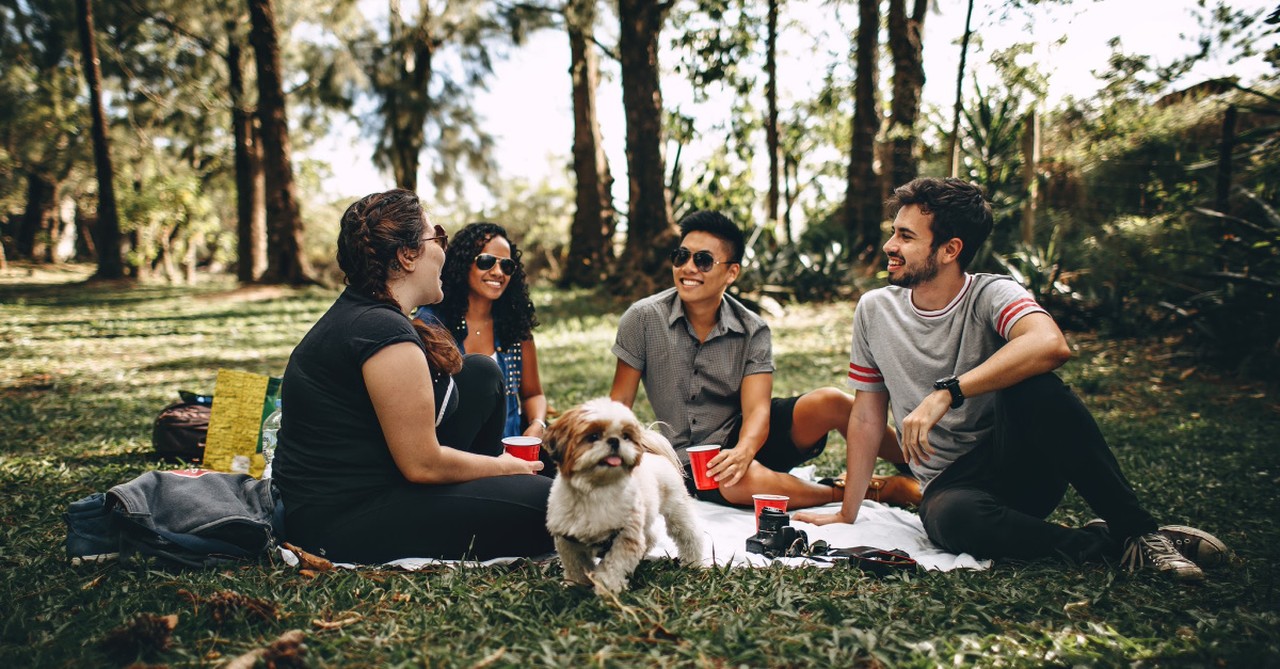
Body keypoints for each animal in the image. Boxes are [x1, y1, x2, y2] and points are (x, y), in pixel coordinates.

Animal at [537, 399, 701, 596]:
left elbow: (613, 566)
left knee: (689, 535)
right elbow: (575, 566)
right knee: (650, 536)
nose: (614, 441)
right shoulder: (568, 540)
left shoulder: (625, 536)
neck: (596, 490)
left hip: (676, 509)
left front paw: (606, 588)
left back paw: (693, 562)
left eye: (625, 436)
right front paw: (575, 586)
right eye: (593, 436)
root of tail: (654, 453)